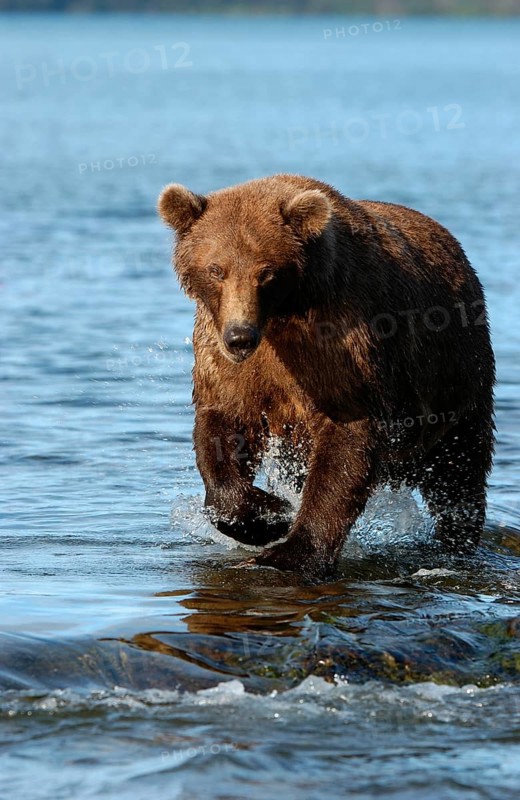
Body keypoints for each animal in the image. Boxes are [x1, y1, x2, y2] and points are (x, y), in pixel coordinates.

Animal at [158, 174, 495, 579]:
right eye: (216, 269)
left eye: (265, 272)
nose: (240, 336)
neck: (282, 315)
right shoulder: (228, 360)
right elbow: (222, 428)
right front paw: (268, 516)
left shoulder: (341, 344)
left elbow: (344, 447)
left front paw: (291, 551)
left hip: (459, 377)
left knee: (459, 471)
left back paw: (453, 543)